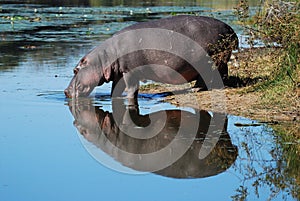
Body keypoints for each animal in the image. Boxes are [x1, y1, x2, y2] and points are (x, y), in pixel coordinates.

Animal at [64, 15, 238, 103]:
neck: (103, 60)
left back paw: (195, 89)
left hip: (210, 61)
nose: (65, 91)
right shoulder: (119, 73)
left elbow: (132, 88)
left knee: (209, 78)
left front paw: (128, 98)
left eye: (75, 70)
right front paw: (113, 97)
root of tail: (230, 29)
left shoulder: (130, 71)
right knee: (221, 74)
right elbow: (116, 89)